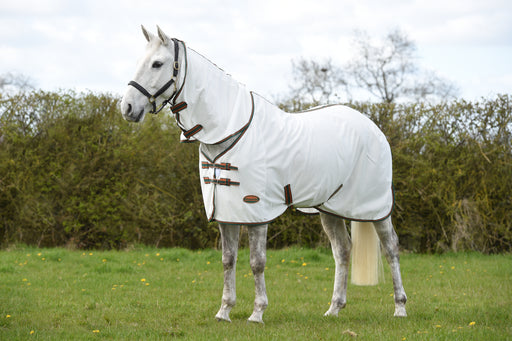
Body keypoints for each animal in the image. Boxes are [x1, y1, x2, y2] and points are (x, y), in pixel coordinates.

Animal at [122, 25, 406, 322]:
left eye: (157, 64)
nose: (127, 107)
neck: (231, 129)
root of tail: (373, 128)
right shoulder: (226, 212)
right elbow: (228, 260)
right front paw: (224, 310)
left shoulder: (255, 212)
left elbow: (257, 262)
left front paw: (257, 312)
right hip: (329, 208)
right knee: (342, 250)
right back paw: (334, 308)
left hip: (375, 208)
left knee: (391, 248)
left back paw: (399, 307)